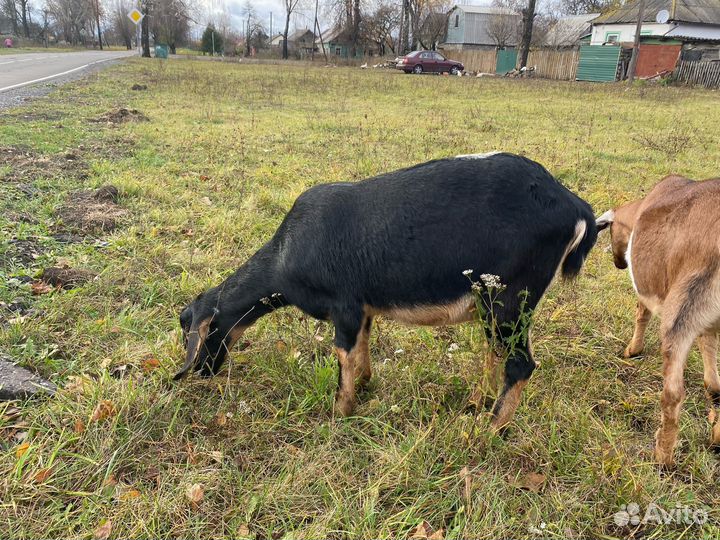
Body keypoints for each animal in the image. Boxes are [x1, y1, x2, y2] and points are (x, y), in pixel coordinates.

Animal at [175, 152, 597, 429]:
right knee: (496, 352)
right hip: (496, 305)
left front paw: (339, 412)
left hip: (510, 298)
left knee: (519, 363)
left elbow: (343, 354)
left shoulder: (344, 306)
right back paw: (476, 404)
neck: (286, 254)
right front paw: (365, 386)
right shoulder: (362, 308)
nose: (203, 372)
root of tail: (576, 207)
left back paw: (489, 432)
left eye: (198, 332)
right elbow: (362, 347)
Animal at [596, 175, 720, 466]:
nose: (619, 263)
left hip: (680, 313)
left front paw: (632, 350)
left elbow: (641, 313)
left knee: (672, 393)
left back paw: (662, 455)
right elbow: (713, 379)